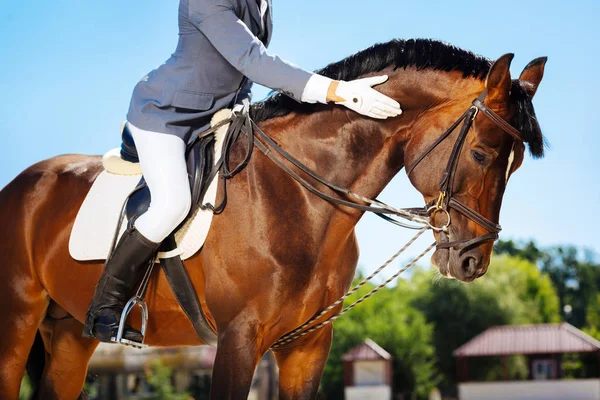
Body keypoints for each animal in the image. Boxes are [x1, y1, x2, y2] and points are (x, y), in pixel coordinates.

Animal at [0, 38, 544, 400]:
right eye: (480, 153)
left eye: (516, 164)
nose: (471, 261)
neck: (302, 200)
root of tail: (20, 186)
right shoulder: (239, 340)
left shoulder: (306, 346)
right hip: (17, 324)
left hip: (69, 336)